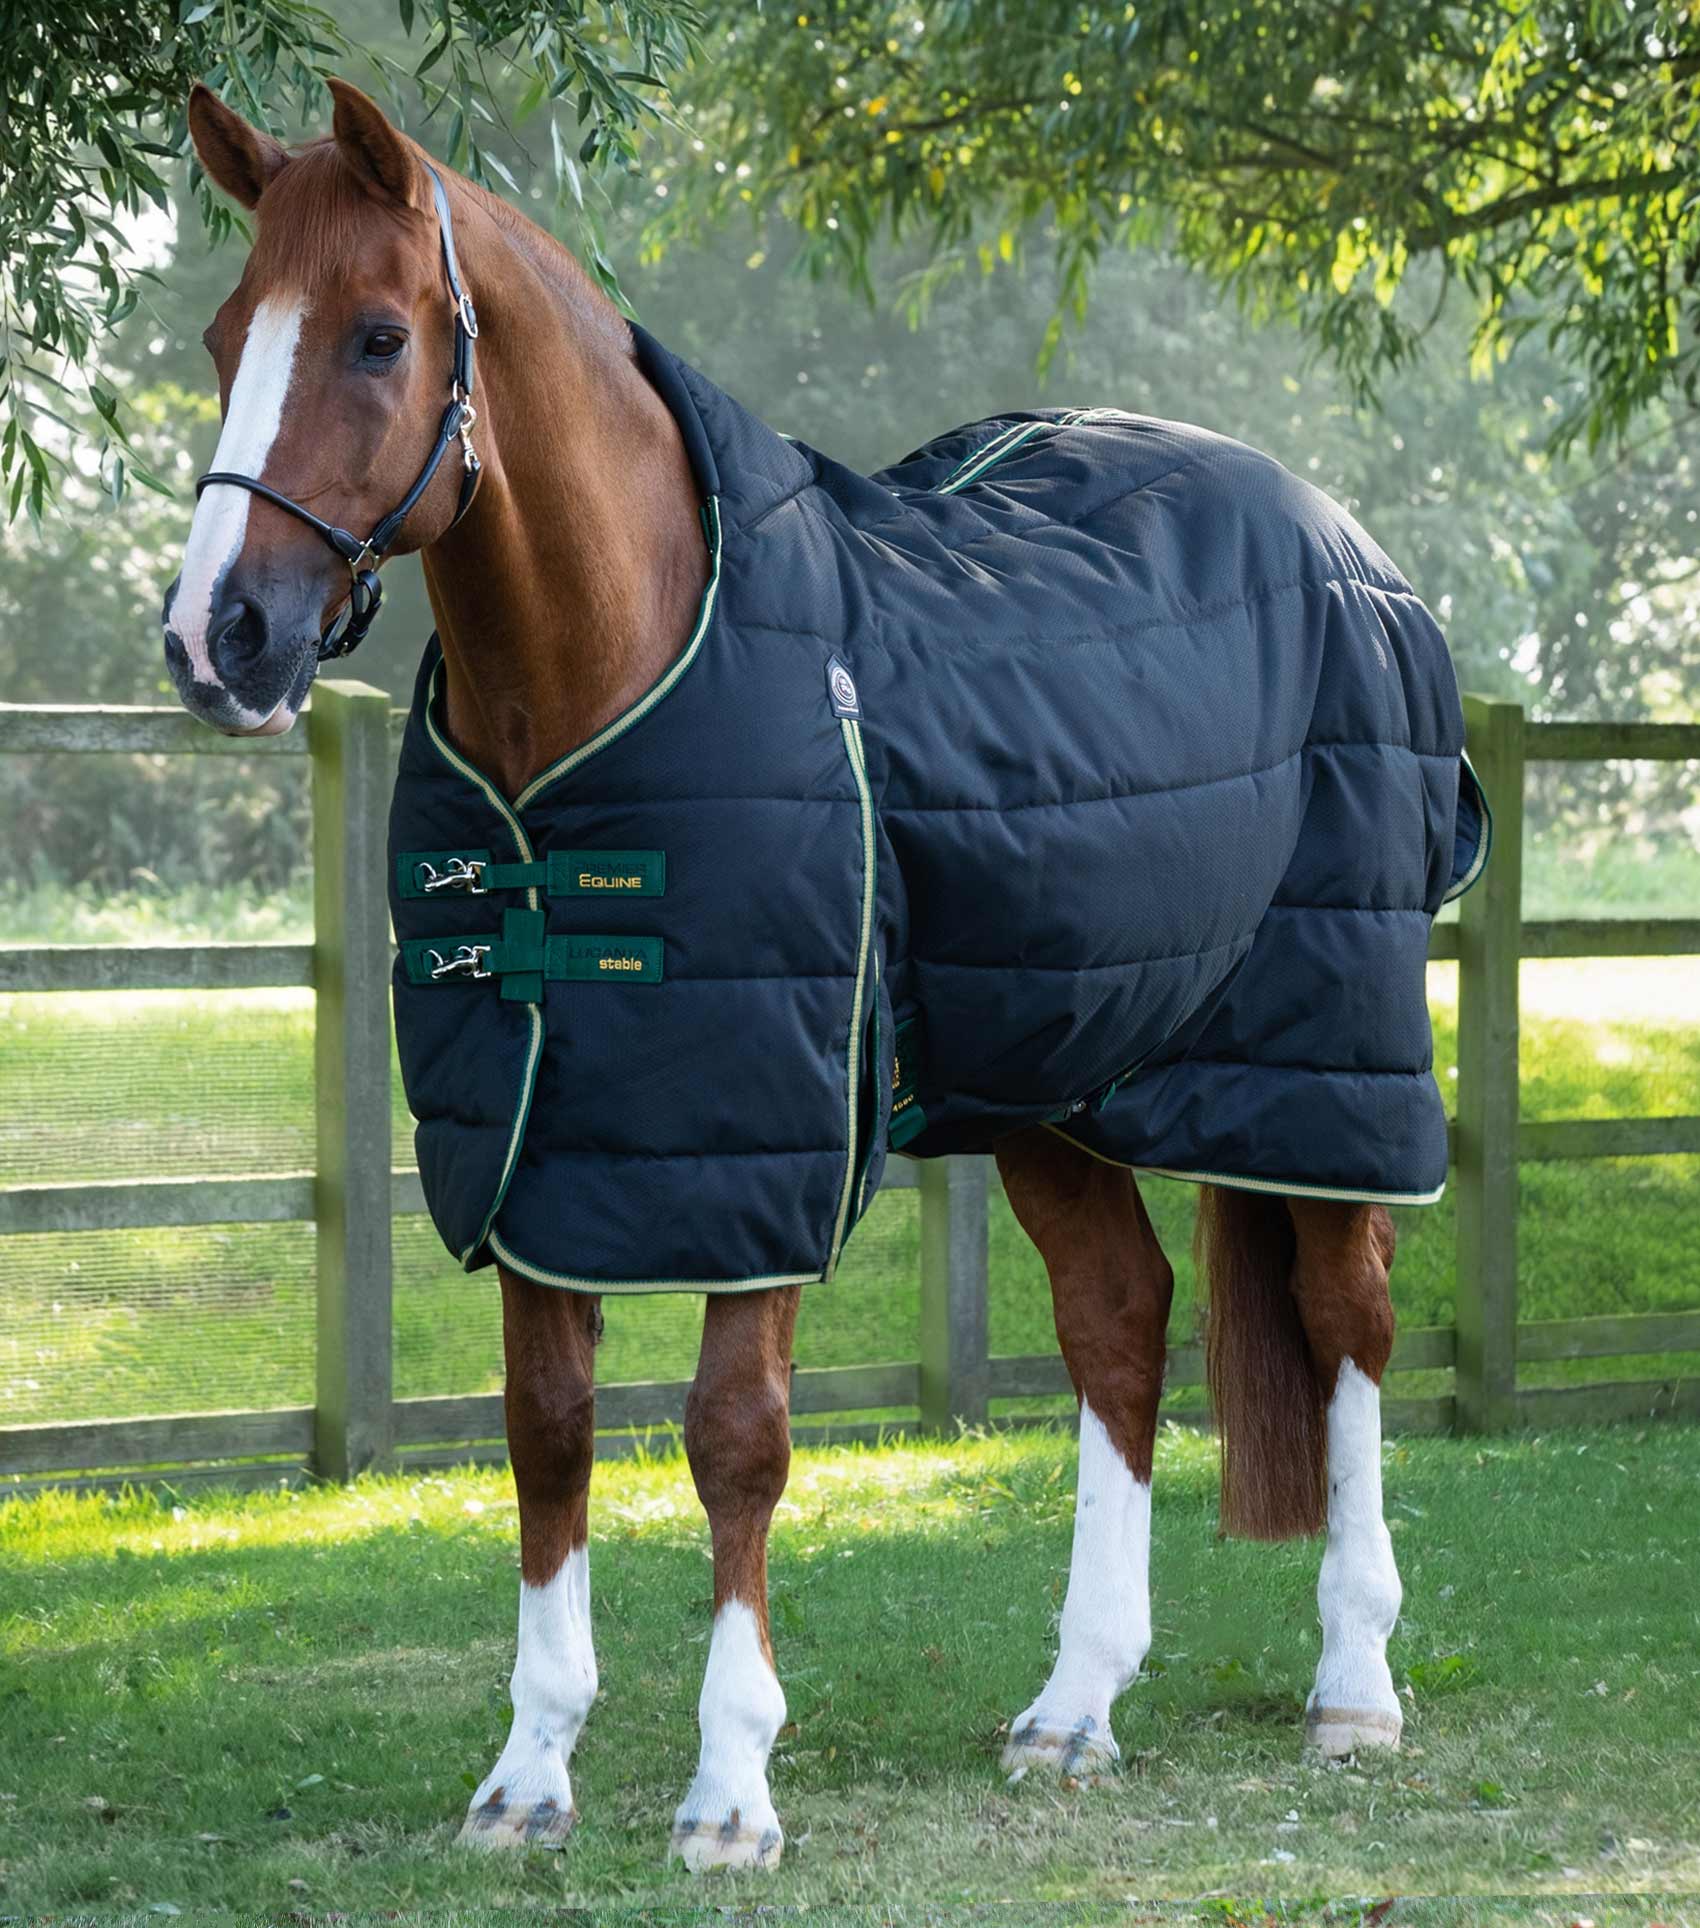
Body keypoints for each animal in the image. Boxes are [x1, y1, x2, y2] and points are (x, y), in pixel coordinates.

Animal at [163, 79, 1465, 1869]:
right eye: (227, 336)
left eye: (375, 337)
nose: (216, 637)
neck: (622, 671)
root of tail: (1346, 546)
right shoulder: (545, 1138)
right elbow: (546, 1430)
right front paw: (530, 1775)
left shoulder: (764, 1133)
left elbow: (734, 1441)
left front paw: (730, 1790)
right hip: (1048, 1076)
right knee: (1120, 1322)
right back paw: (1075, 1707)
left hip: (1324, 1066)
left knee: (1349, 1323)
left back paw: (1355, 1684)